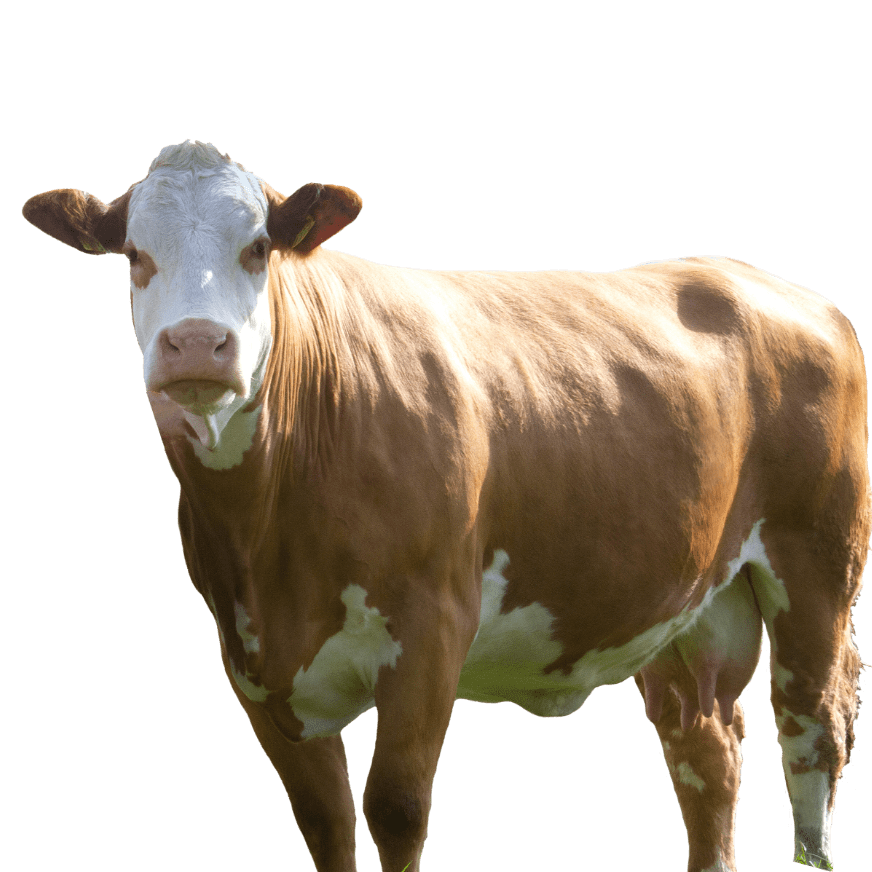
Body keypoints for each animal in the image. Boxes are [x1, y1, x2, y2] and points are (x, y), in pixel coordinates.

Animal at [22, 140, 868, 872]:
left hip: (819, 563)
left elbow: (395, 807)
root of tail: (763, 281)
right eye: (136, 256)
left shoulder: (431, 624)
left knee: (813, 727)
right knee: (706, 749)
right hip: (683, 604)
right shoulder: (250, 659)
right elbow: (324, 820)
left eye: (258, 247)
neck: (270, 537)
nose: (197, 344)